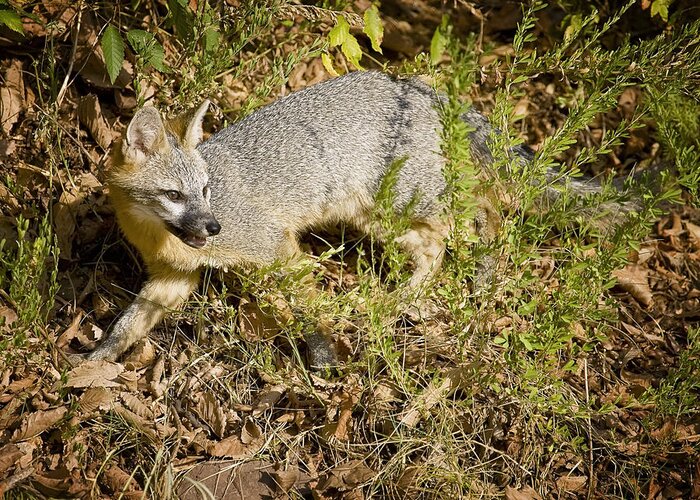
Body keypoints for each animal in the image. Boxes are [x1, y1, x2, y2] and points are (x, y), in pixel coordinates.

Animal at [83, 69, 636, 364]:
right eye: (176, 195)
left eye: (206, 190)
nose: (213, 226)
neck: (161, 239)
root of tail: (417, 85)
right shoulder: (170, 281)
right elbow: (125, 329)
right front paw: (93, 367)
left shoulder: (274, 244)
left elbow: (305, 304)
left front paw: (324, 354)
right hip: (381, 220)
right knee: (438, 247)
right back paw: (401, 299)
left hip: (411, 203)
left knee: (483, 213)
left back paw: (473, 273)